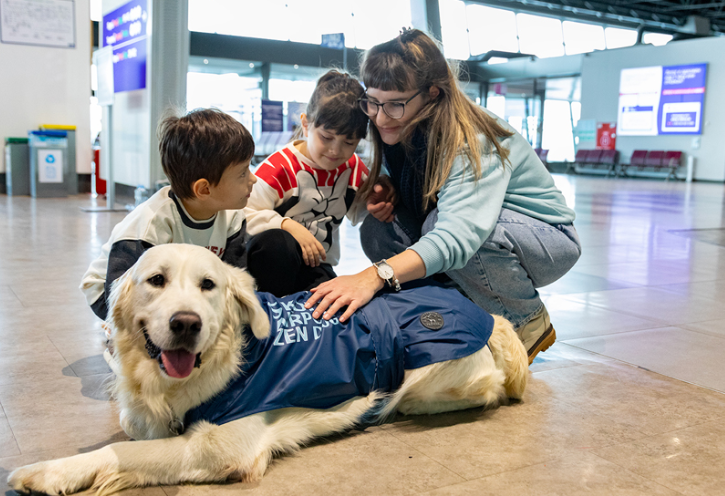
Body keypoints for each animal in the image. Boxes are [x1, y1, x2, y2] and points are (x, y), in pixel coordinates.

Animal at [7, 245, 528, 496]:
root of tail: (484, 314)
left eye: (209, 285)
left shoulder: (220, 446)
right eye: (156, 280)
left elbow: (123, 452)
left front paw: (47, 471)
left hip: (429, 381)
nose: (186, 324)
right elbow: (130, 432)